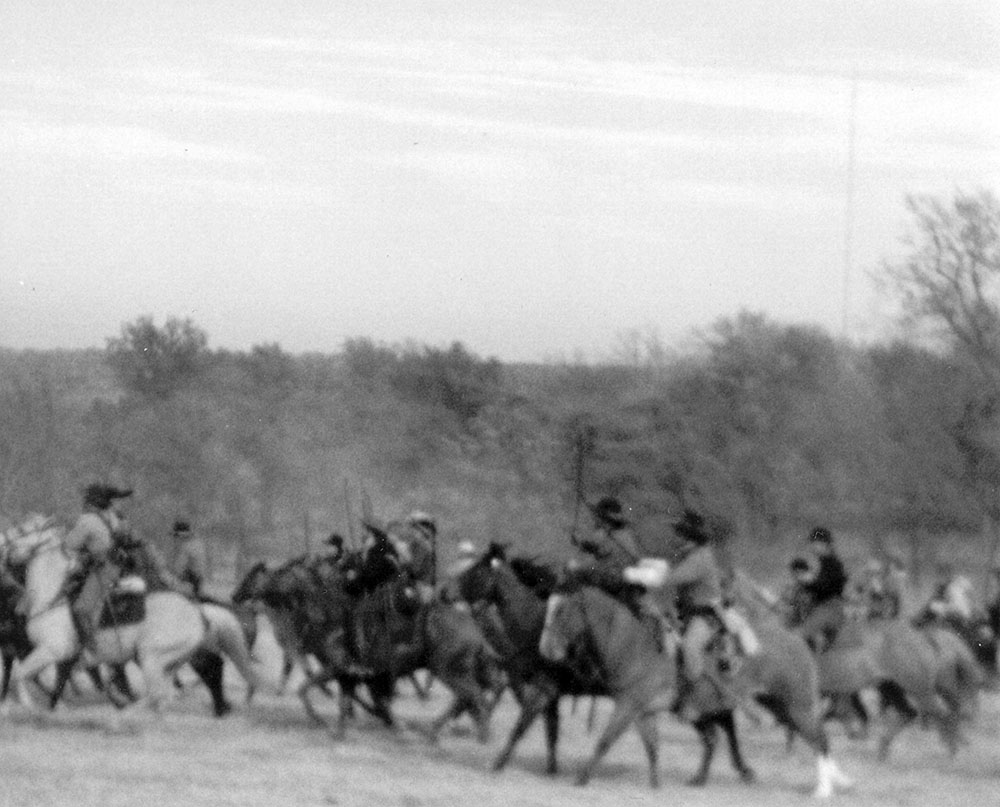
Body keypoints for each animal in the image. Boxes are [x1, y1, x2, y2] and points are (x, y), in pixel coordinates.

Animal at [0, 516, 270, 716]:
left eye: (22, 529)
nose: (2, 542)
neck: (53, 598)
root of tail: (198, 610)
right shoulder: (57, 657)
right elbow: (45, 680)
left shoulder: (50, 651)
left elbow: (21, 676)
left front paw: (20, 707)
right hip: (166, 661)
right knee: (168, 693)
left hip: (152, 657)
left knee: (164, 692)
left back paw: (124, 715)